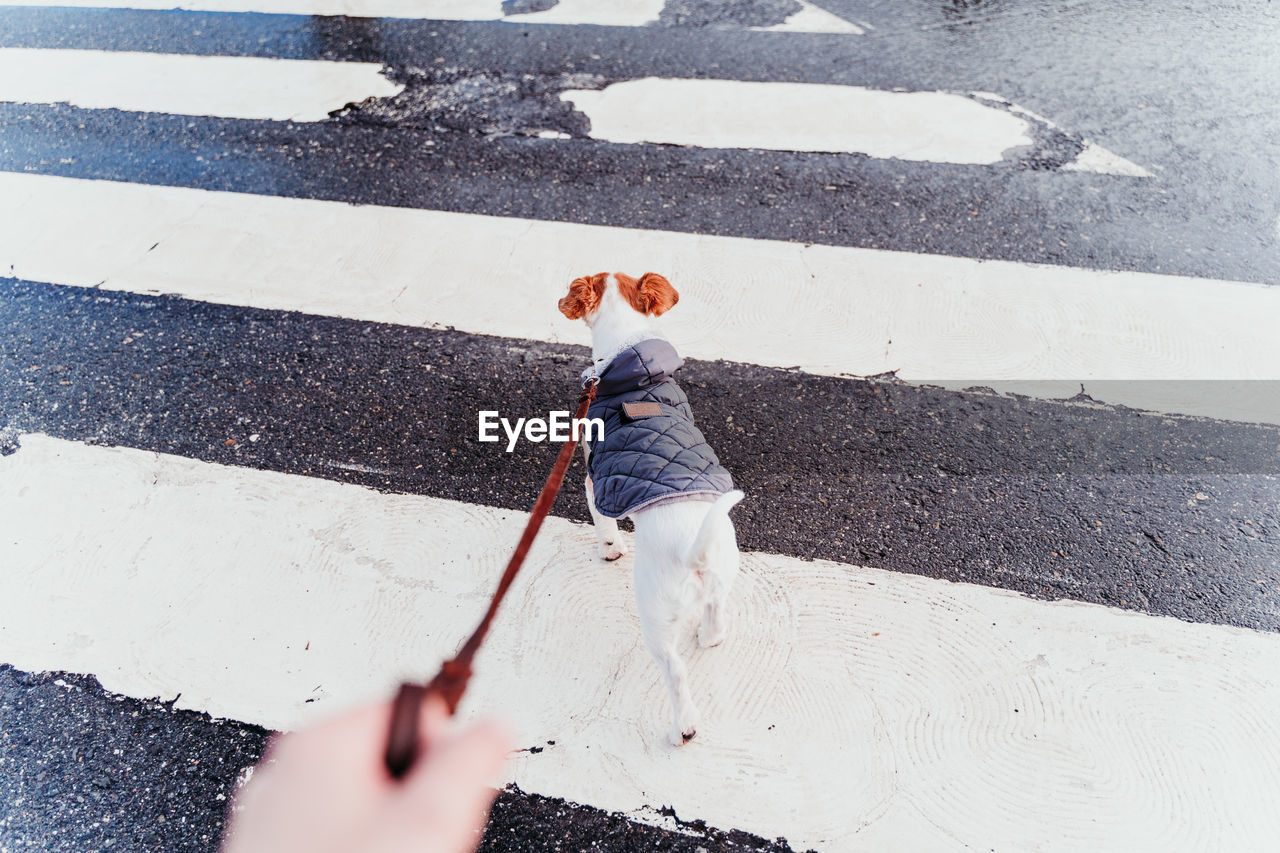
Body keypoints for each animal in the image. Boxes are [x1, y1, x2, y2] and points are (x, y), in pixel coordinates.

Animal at [558, 268, 747, 742]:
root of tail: (694, 554)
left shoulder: (594, 476)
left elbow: (601, 521)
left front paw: (609, 549)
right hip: (720, 582)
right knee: (715, 622)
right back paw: (709, 637)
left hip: (655, 617)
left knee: (675, 673)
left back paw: (684, 727)